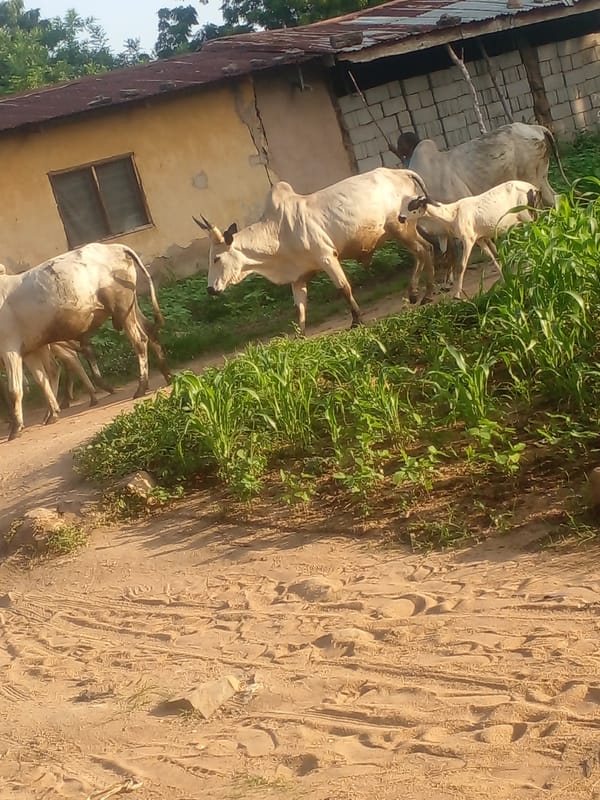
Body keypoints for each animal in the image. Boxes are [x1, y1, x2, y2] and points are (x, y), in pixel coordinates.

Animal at [0, 242, 171, 440]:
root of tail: (115, 247)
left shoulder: (9, 348)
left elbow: (14, 390)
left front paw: (16, 428)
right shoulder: (29, 350)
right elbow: (42, 382)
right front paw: (53, 413)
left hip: (120, 307)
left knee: (140, 341)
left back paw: (141, 387)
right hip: (131, 307)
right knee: (150, 332)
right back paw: (167, 376)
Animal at [194, 168, 436, 333]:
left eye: (216, 258)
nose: (210, 289)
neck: (278, 232)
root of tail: (398, 171)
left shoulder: (327, 256)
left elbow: (343, 288)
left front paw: (356, 320)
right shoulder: (298, 276)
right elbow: (299, 307)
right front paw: (299, 336)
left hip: (401, 228)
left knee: (422, 252)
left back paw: (424, 294)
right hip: (407, 229)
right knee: (427, 249)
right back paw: (419, 293)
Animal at [398, 180, 542, 299]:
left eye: (413, 205)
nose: (400, 218)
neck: (452, 214)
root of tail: (534, 188)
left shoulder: (468, 239)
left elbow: (462, 266)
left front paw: (457, 295)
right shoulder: (480, 238)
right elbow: (493, 256)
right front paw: (504, 279)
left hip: (527, 215)